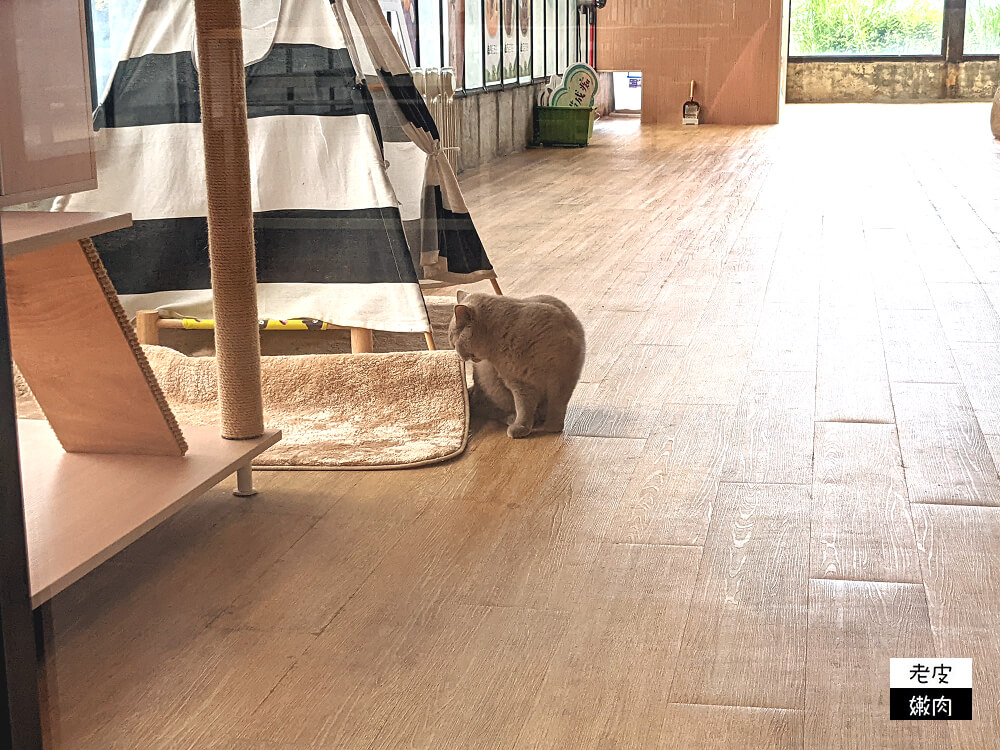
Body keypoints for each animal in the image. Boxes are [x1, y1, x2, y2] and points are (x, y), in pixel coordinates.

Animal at [448, 290, 584, 440]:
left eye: (453, 344)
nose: (459, 357)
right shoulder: (520, 383)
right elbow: (523, 408)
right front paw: (523, 426)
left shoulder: (564, 375)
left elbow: (557, 404)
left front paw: (553, 426)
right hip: (490, 382)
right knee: (489, 408)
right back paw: (516, 419)